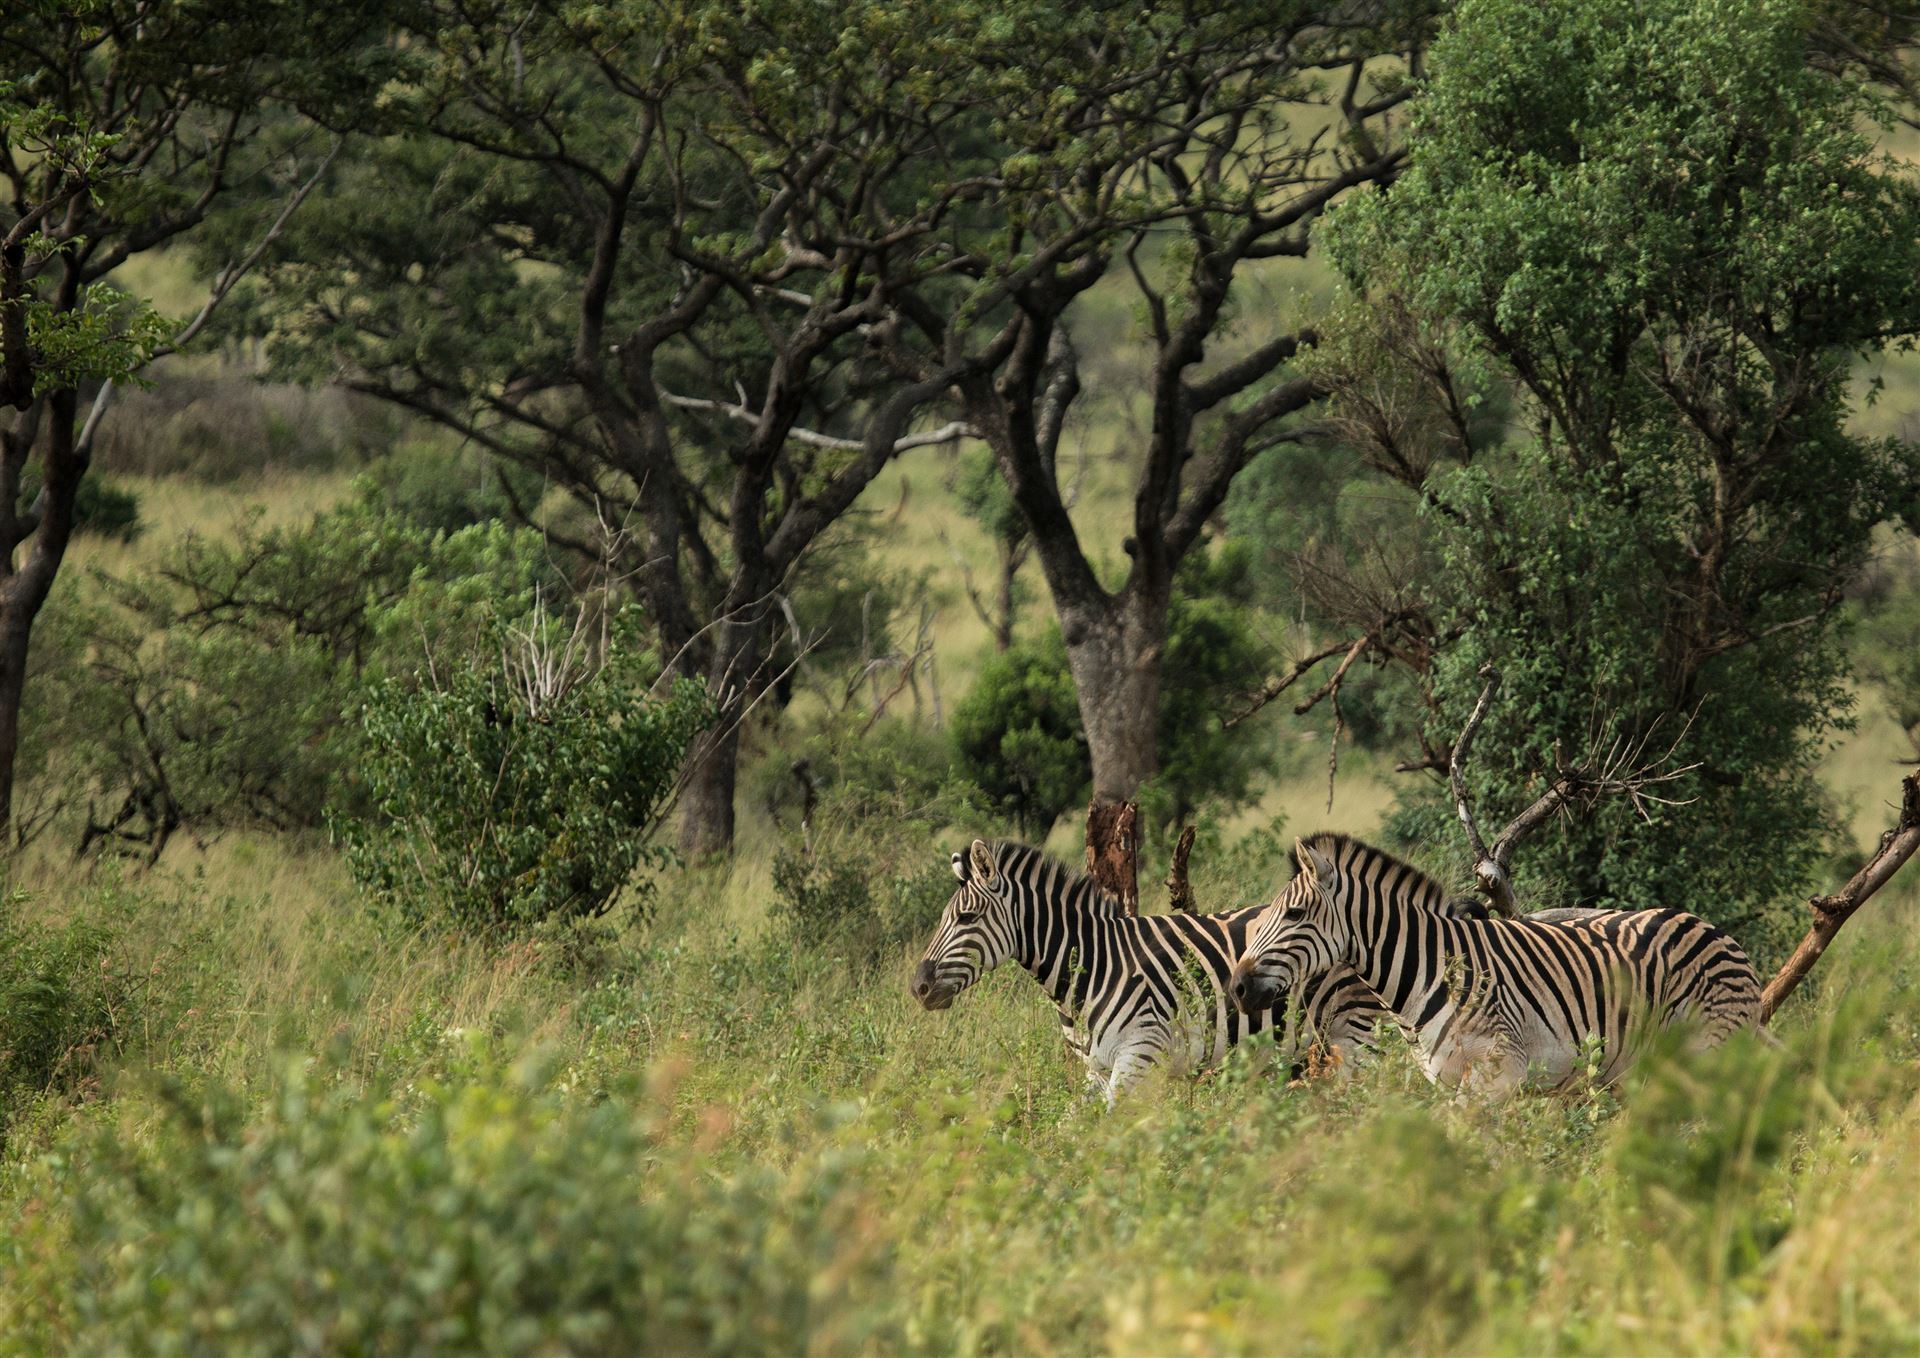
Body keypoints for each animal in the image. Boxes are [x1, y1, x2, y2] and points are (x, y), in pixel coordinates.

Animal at [910, 838, 1402, 1103]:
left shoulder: (1138, 1055)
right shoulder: (1096, 1069)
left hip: (1358, 1032)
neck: (1094, 967)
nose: (919, 987)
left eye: (966, 919)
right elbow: (1074, 1131)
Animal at [1227, 832, 1763, 1094]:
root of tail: (1719, 933)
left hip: (1710, 1050)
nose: (1236, 988)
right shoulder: (1446, 1081)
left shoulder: (1500, 1076)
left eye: (1295, 914)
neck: (1429, 977)